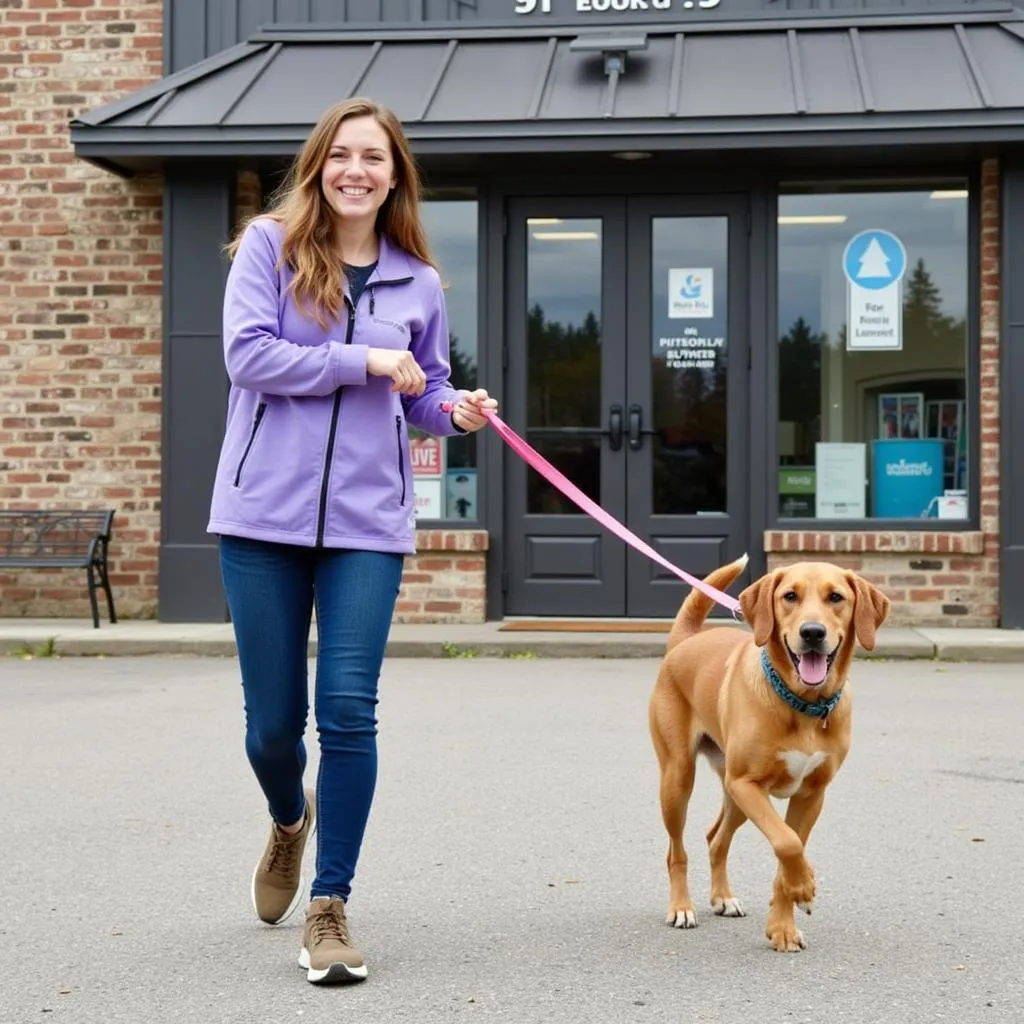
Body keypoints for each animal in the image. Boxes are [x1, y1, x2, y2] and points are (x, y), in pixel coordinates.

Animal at [651, 552, 892, 950]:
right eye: (790, 596)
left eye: (836, 597)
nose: (812, 633)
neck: (802, 705)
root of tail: (686, 641)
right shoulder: (748, 784)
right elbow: (787, 842)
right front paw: (804, 886)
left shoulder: (810, 795)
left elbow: (788, 850)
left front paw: (784, 924)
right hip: (679, 780)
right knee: (675, 850)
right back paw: (681, 907)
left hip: (733, 793)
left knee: (716, 838)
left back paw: (723, 897)